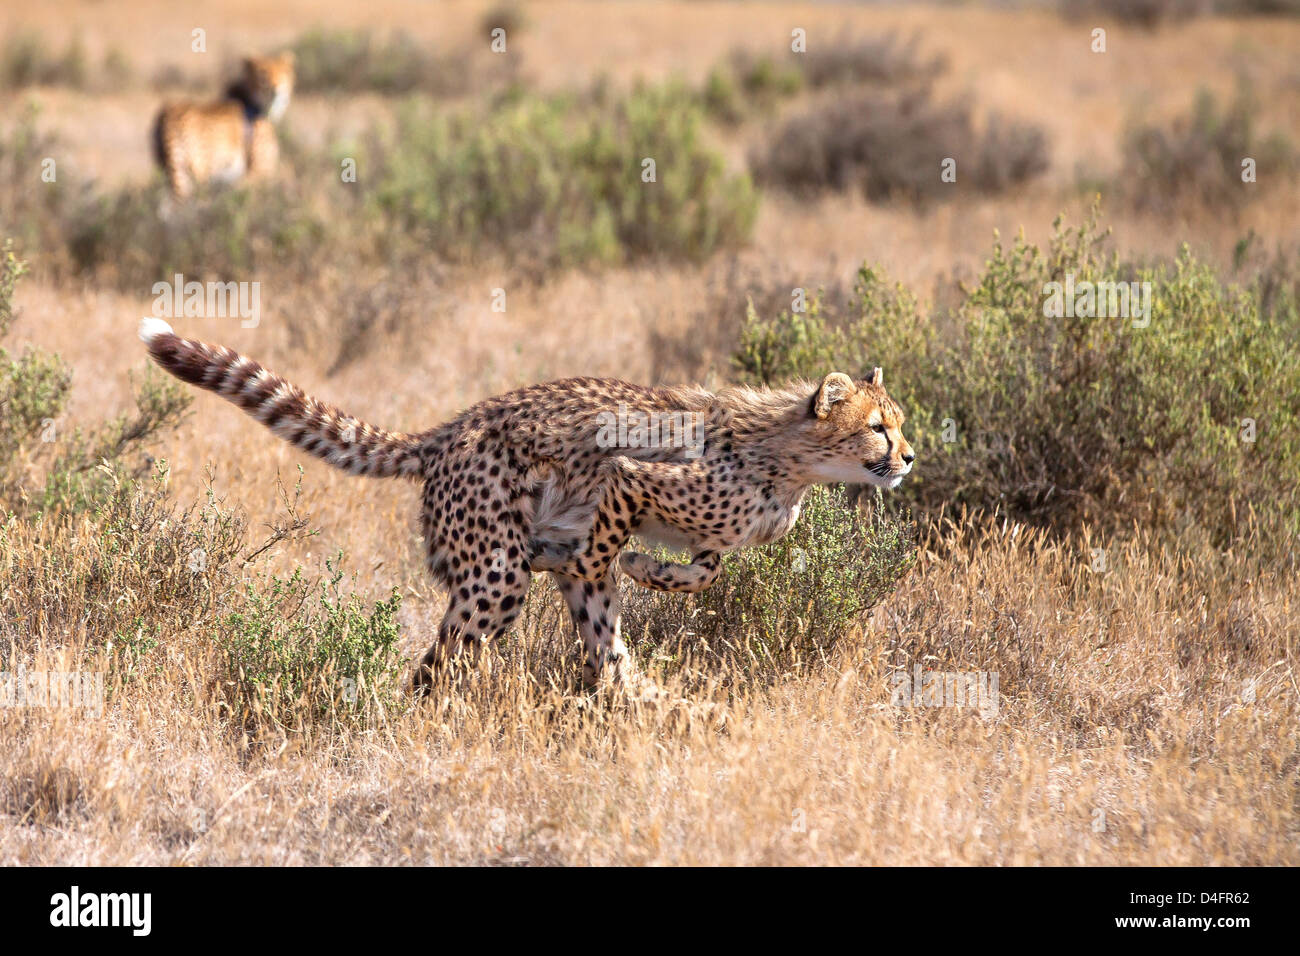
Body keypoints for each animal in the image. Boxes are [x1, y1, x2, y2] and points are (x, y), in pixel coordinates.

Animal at [139, 319, 915, 697]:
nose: (909, 458)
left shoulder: (712, 533)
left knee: (605, 652)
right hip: (495, 576)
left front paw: (652, 570)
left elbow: (706, 568)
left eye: (899, 423)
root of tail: (449, 427)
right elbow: (608, 542)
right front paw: (624, 559)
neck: (792, 460)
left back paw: (657, 703)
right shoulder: (631, 477)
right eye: (880, 426)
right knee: (437, 667)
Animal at [152, 52, 295, 197]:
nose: (276, 89)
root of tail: (168, 113)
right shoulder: (259, 172)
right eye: (263, 74)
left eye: (283, 72)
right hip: (199, 170)